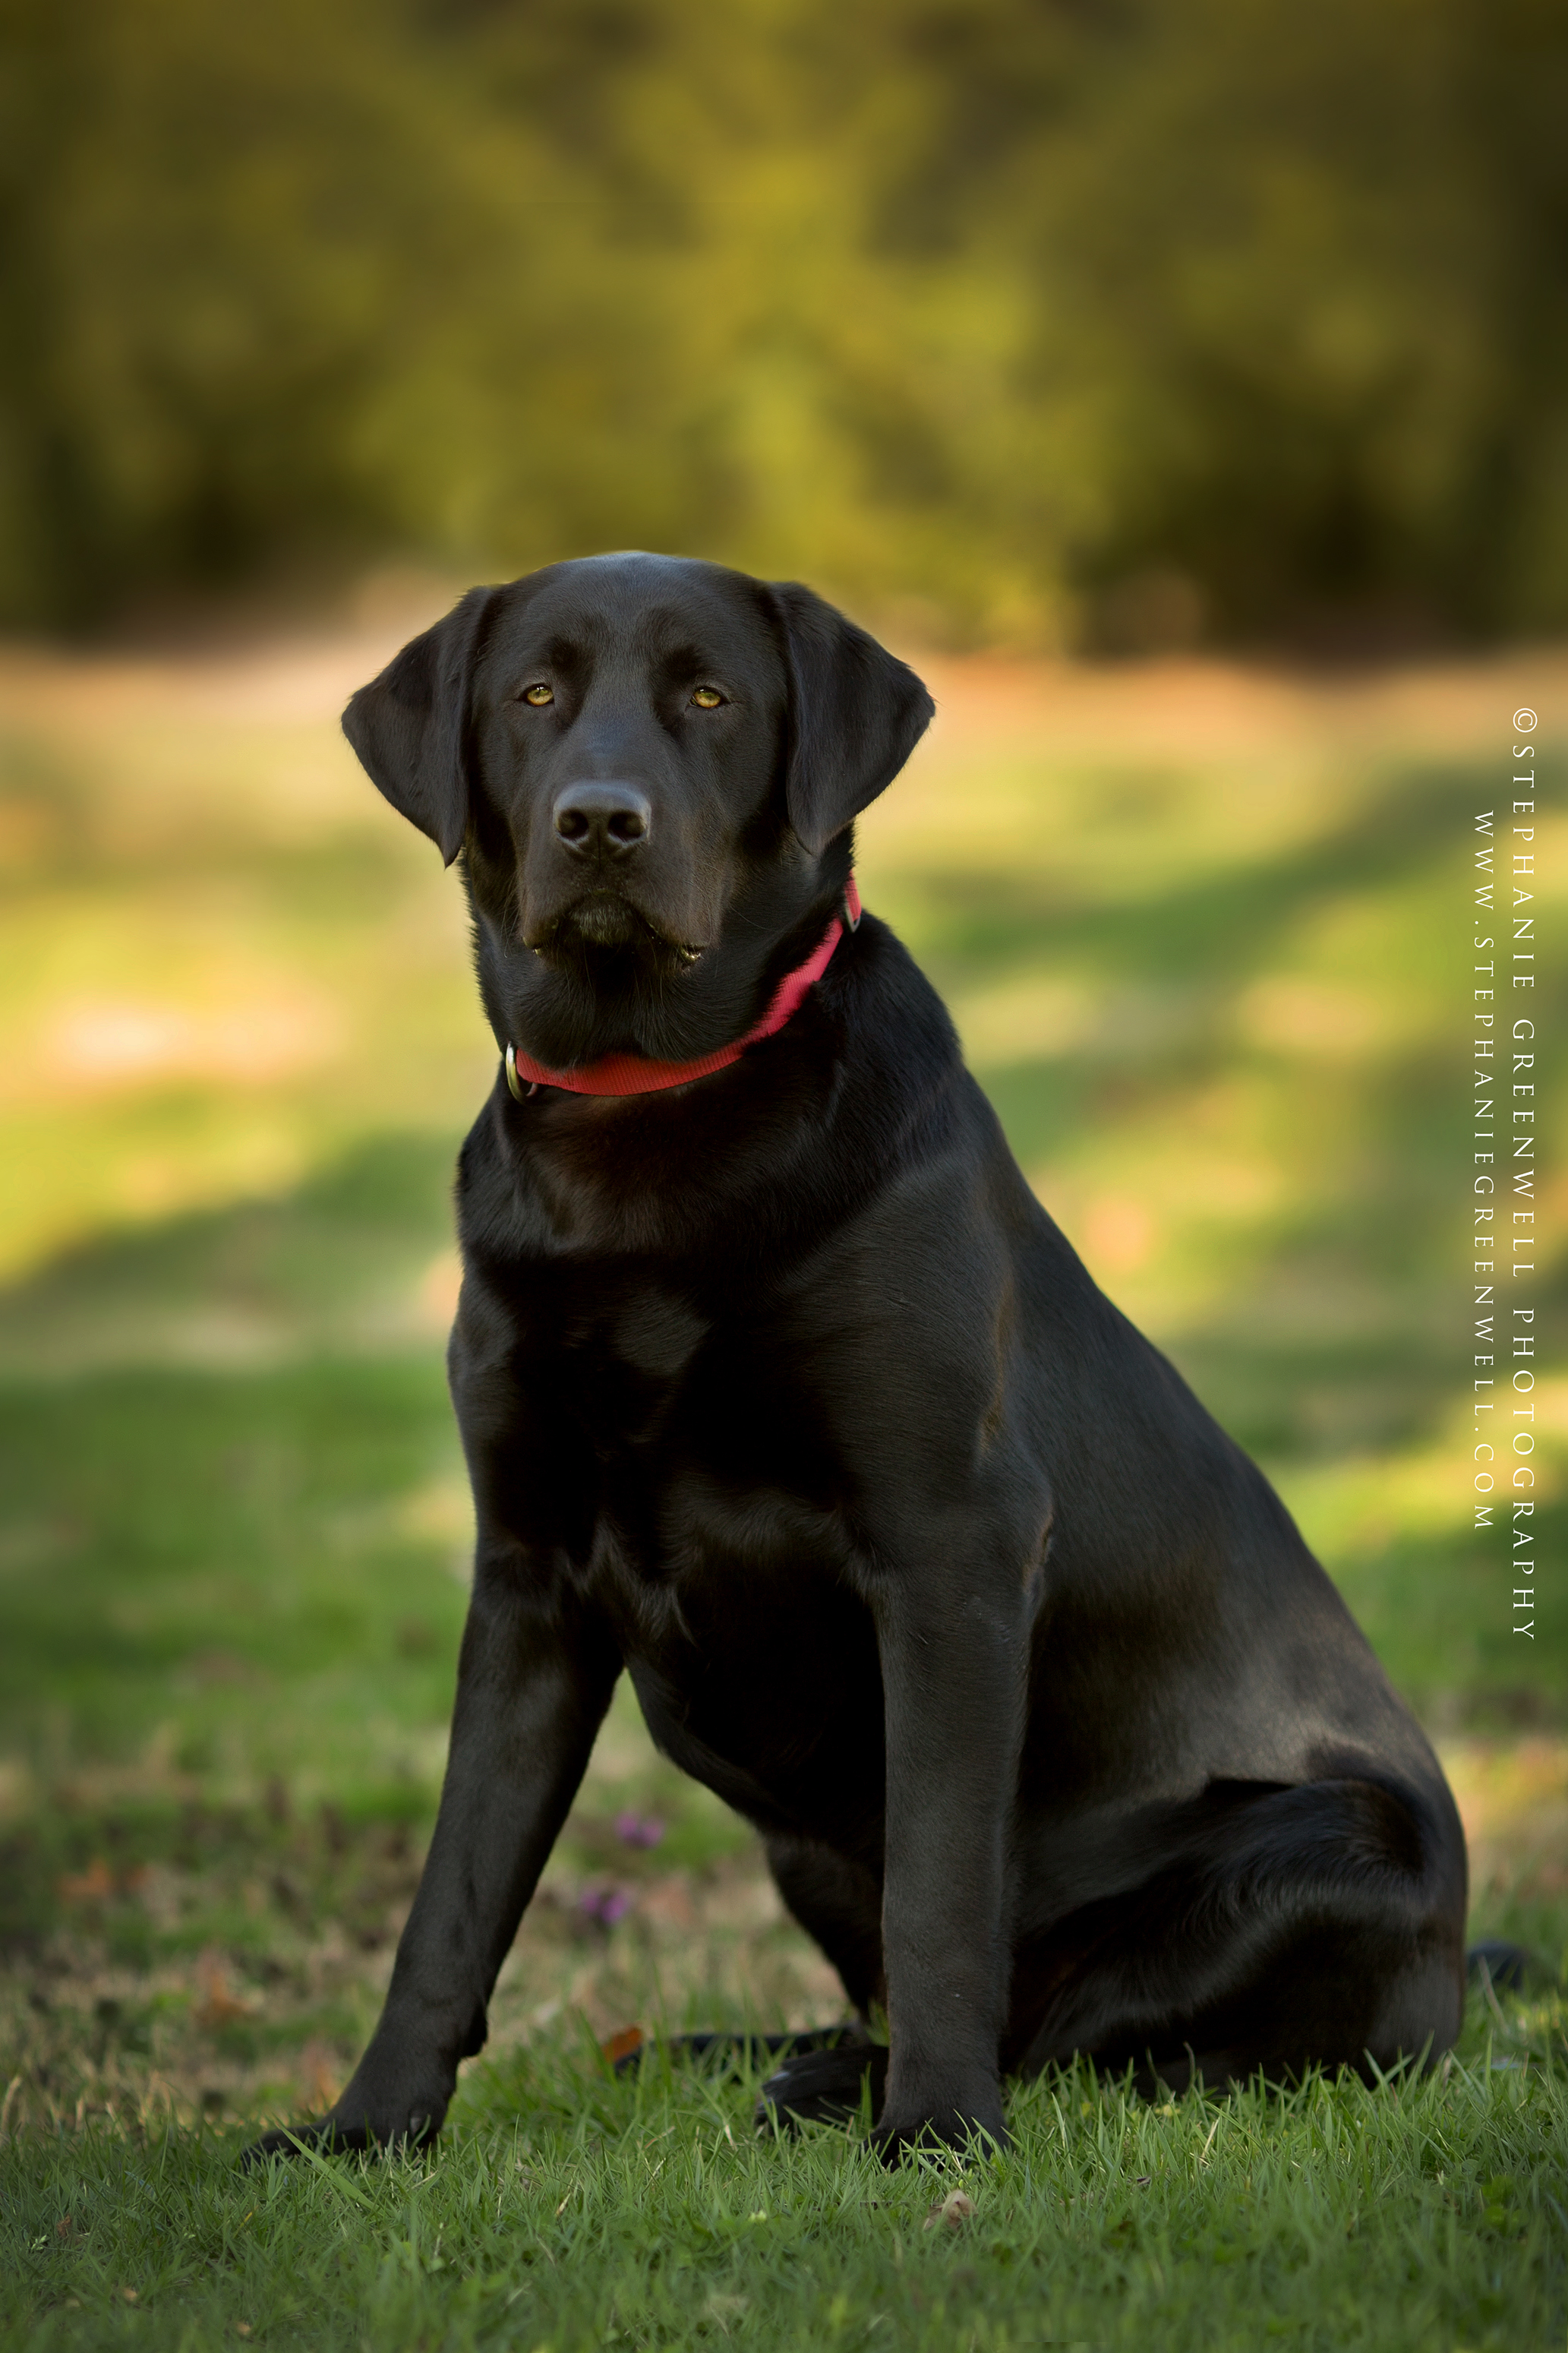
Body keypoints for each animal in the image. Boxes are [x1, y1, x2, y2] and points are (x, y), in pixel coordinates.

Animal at [241, 550, 1457, 2165]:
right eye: (535, 693)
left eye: (709, 695)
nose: (600, 822)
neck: (648, 1121)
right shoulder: (527, 1574)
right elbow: (452, 1897)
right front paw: (365, 2127)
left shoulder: (951, 1543)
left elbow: (943, 1888)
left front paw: (939, 2133)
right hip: (803, 1840)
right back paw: (740, 2055)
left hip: (1332, 1846)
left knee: (1064, 2030)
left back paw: (851, 2086)